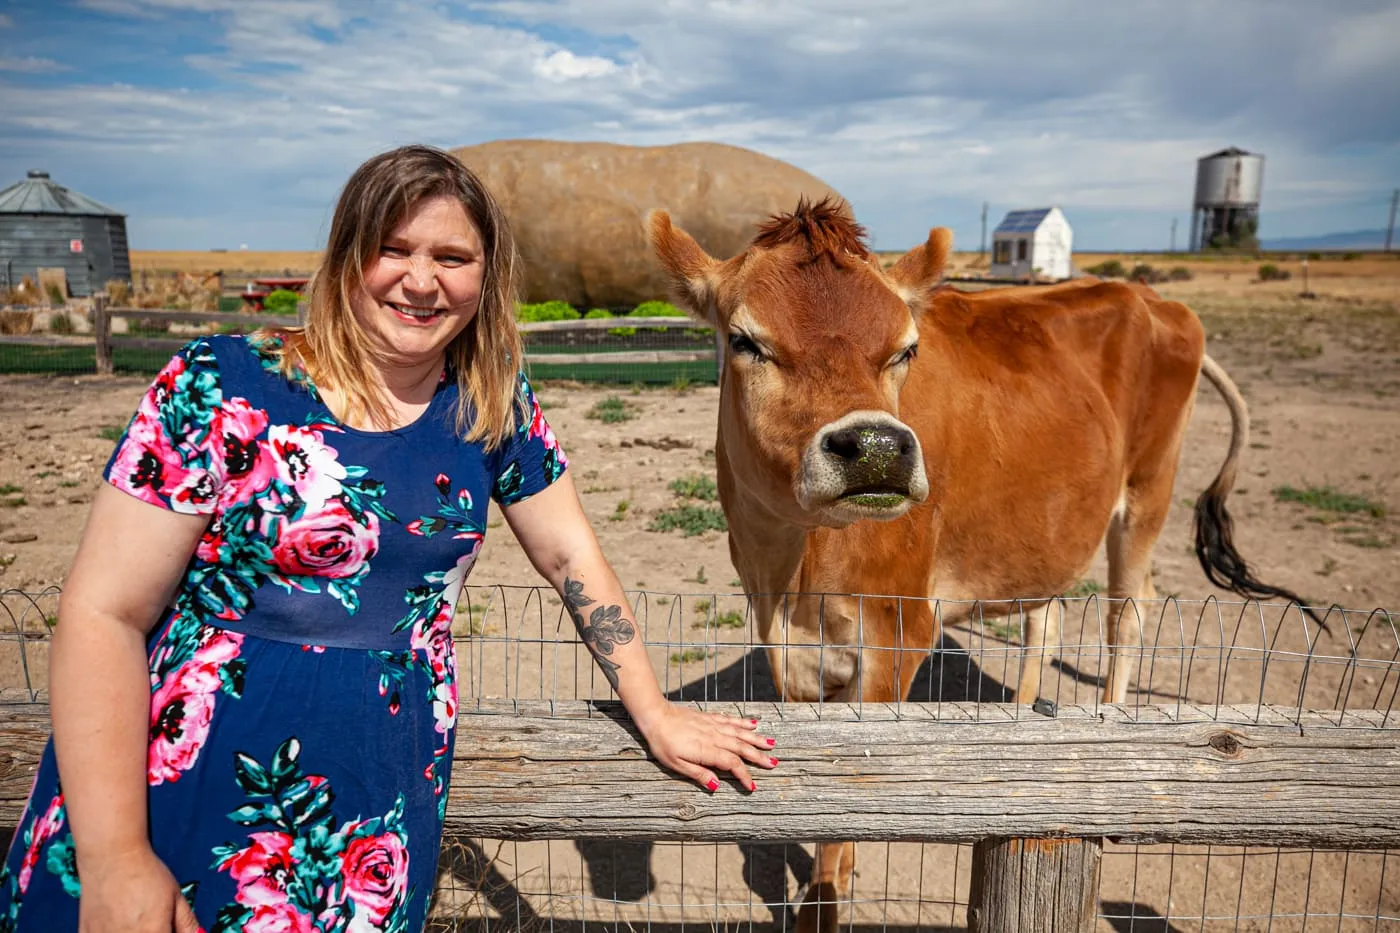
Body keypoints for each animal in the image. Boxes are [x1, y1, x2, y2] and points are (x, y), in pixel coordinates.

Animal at [644, 197, 1310, 930]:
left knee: (1126, 615)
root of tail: (1150, 296)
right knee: (1046, 620)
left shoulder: (898, 636)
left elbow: (842, 811)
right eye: (745, 341)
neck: (791, 568)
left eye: (906, 348)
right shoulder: (788, 650)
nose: (876, 446)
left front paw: (828, 896)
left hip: (1147, 493)